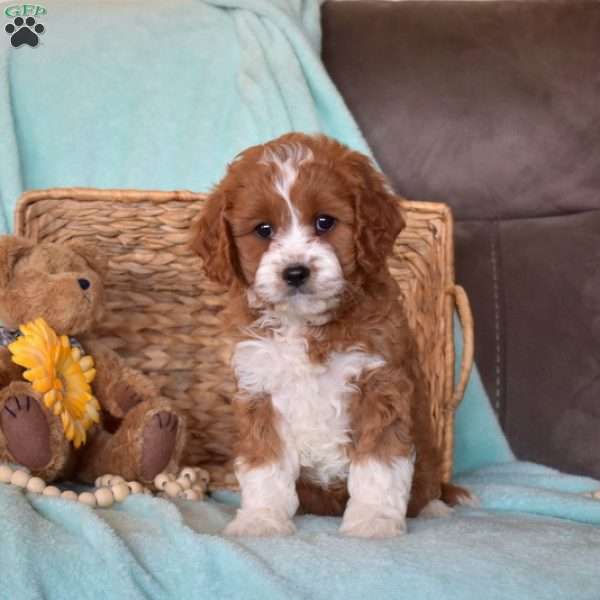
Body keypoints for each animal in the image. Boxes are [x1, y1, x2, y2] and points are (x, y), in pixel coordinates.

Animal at [192, 134, 468, 536]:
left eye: (325, 222)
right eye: (263, 230)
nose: (295, 272)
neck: (306, 325)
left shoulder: (378, 383)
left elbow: (379, 464)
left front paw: (372, 521)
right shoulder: (260, 389)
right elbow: (265, 467)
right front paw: (261, 519)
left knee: (428, 486)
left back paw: (434, 508)